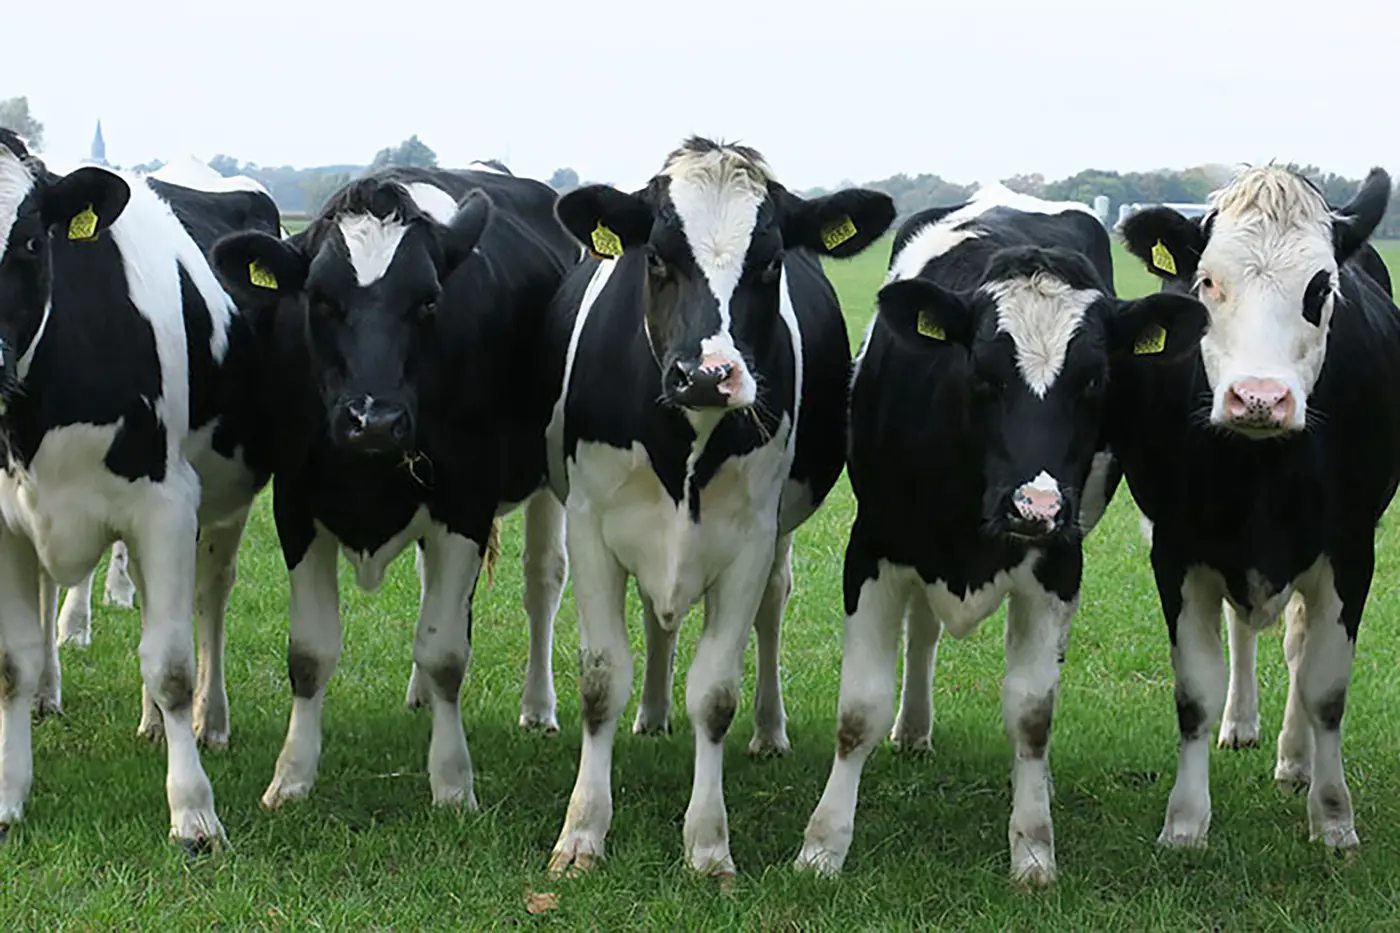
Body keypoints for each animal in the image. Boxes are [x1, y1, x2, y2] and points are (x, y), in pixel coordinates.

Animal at [0, 128, 281, 846]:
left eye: (31, 242)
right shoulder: (6, 518)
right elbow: (13, 662)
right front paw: (9, 795)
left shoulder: (165, 504)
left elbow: (173, 664)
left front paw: (194, 812)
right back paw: (142, 718)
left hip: (221, 502)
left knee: (209, 599)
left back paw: (210, 720)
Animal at [209, 164, 577, 810]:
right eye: (320, 300)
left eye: (428, 301)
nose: (374, 419)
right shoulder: (295, 505)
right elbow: (310, 652)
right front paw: (292, 776)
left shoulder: (465, 504)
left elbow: (446, 651)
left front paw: (452, 782)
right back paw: (420, 697)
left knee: (542, 581)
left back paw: (537, 707)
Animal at [539, 137, 894, 877]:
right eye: (656, 257)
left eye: (769, 262)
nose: (707, 374)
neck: (685, 443)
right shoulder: (588, 525)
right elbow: (600, 678)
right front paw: (582, 831)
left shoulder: (751, 538)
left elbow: (715, 693)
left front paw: (707, 842)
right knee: (658, 618)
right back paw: (650, 715)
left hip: (777, 536)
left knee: (772, 606)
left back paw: (769, 730)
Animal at [794, 184, 1208, 884]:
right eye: (983, 373)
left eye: (1095, 379)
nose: (1034, 505)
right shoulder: (872, 550)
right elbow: (857, 712)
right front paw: (822, 846)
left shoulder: (1059, 562)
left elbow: (1032, 716)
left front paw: (1034, 848)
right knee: (923, 632)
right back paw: (913, 729)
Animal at [1114, 166, 1399, 852]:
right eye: (1208, 281)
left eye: (1321, 287)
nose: (1260, 398)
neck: (1261, 472)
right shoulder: (1176, 548)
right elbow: (1195, 690)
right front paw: (1185, 821)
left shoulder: (1352, 550)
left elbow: (1325, 688)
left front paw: (1333, 817)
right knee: (1242, 631)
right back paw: (1241, 723)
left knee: (1296, 649)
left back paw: (1295, 760)